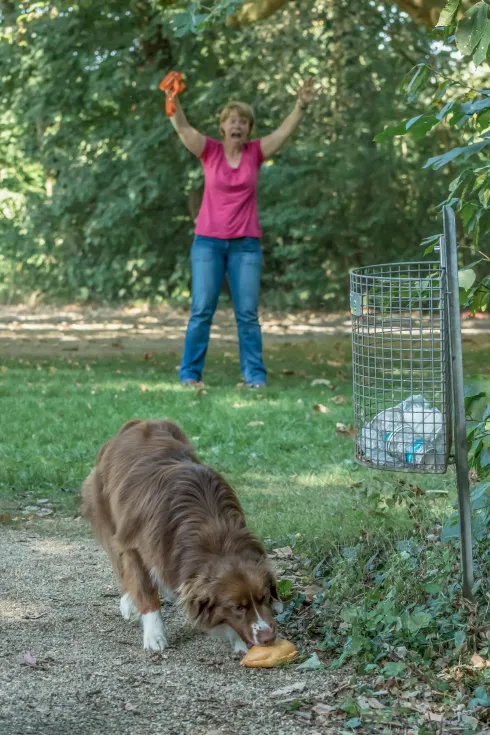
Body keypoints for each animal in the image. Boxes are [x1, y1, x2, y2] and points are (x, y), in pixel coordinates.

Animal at [79, 420, 280, 656]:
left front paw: (237, 640)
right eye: (237, 607)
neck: (214, 534)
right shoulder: (136, 546)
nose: (268, 637)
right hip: (106, 514)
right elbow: (145, 589)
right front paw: (154, 635)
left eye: (263, 597)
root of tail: (139, 422)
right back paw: (128, 602)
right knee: (119, 564)